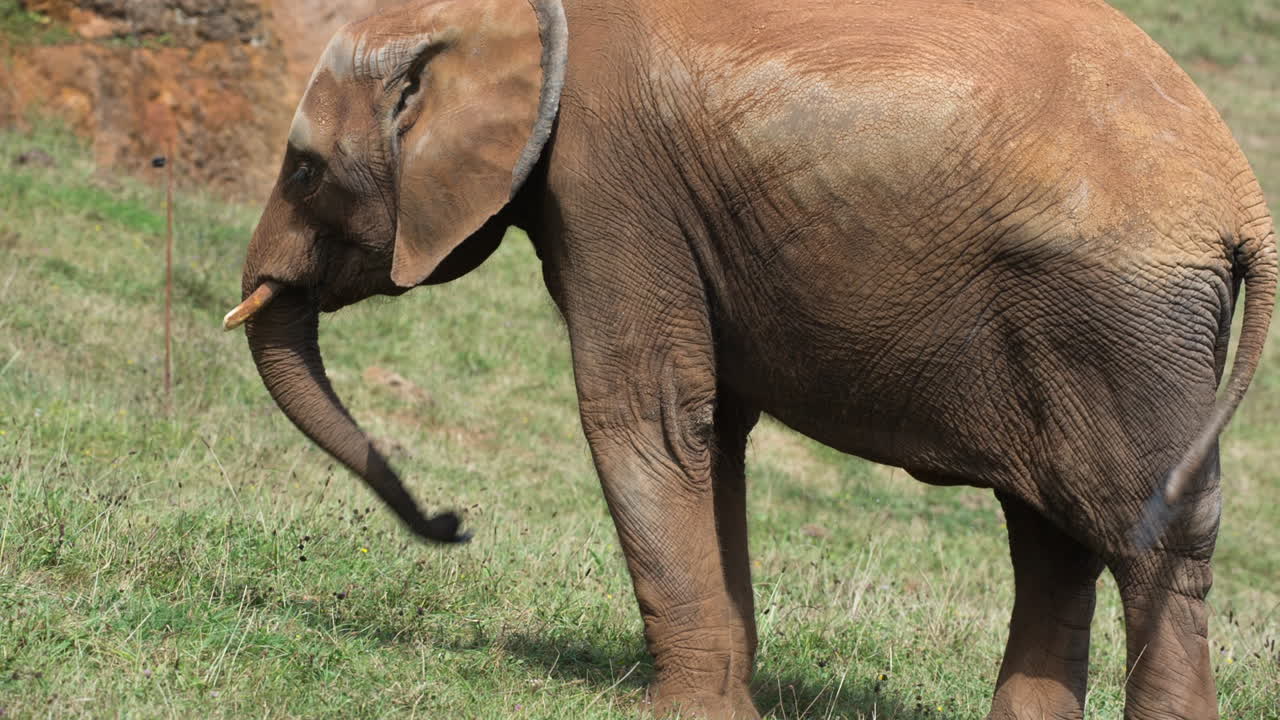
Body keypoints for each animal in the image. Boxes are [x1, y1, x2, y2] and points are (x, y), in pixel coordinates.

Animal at [223, 0, 1276, 717]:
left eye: (304, 170)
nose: (450, 524)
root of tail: (1243, 201)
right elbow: (710, 426)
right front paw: (724, 705)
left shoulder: (608, 173)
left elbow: (643, 411)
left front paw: (679, 714)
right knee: (1053, 532)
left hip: (1116, 321)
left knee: (1142, 536)